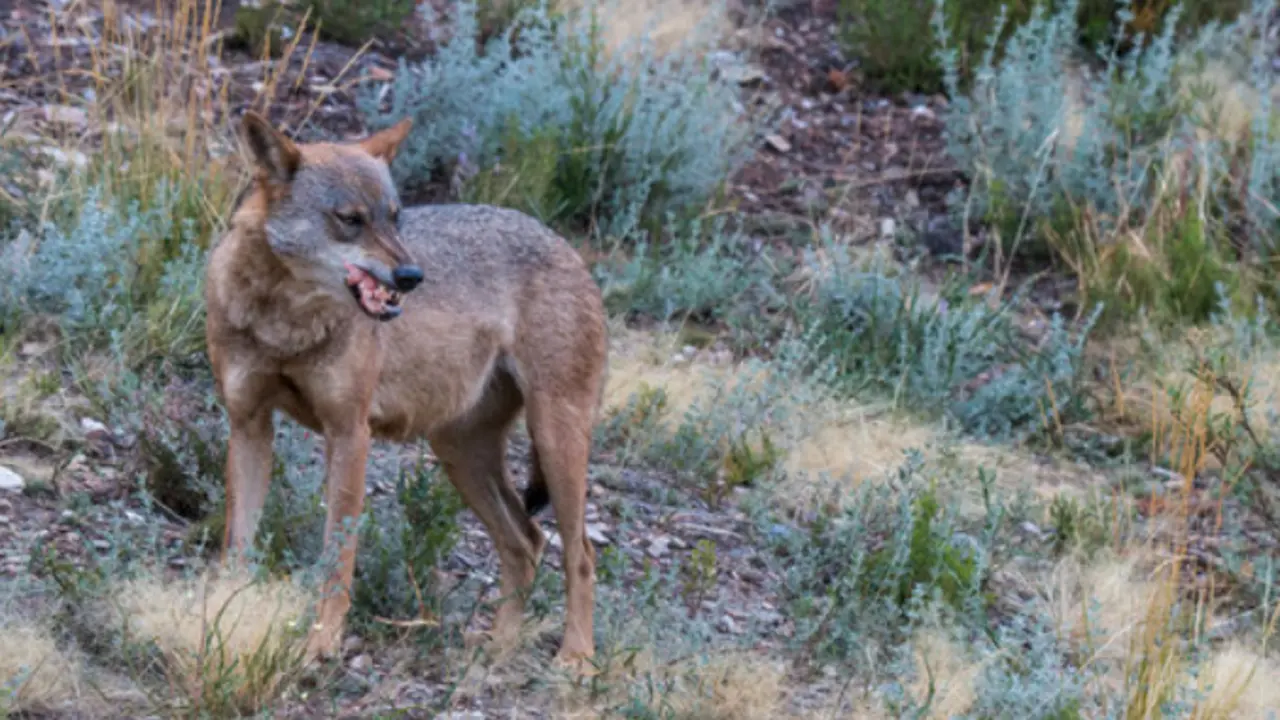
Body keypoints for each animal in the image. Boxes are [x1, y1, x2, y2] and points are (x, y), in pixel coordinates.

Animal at [204, 111, 608, 669]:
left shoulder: (350, 434)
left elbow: (338, 558)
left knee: (580, 553)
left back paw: (576, 659)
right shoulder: (248, 425)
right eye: (350, 219)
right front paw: (227, 613)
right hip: (460, 455)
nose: (413, 275)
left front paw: (321, 643)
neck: (284, 323)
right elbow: (238, 543)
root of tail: (568, 246)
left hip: (553, 440)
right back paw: (499, 647)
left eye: (395, 218)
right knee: (526, 543)